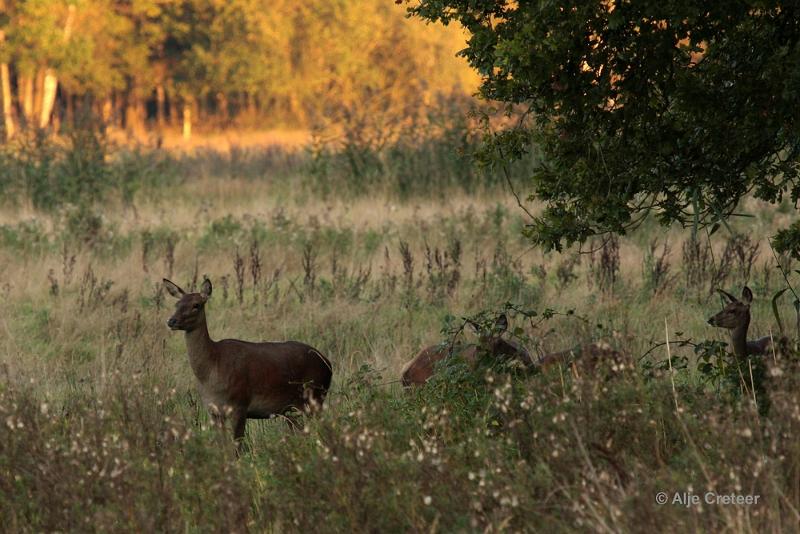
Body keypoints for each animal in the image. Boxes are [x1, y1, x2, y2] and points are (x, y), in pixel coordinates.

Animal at [164, 278, 332, 450]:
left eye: (196, 305)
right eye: (176, 304)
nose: (171, 321)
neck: (212, 369)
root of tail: (328, 364)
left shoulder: (240, 404)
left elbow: (237, 446)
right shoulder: (213, 410)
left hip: (315, 395)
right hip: (293, 409)